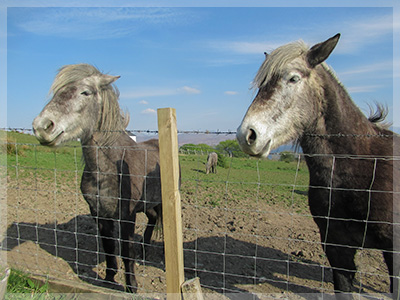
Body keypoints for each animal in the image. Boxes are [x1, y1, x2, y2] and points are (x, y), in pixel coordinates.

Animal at [32, 63, 162, 292]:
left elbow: (126, 251)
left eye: (85, 92)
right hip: (148, 205)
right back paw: (144, 252)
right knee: (152, 220)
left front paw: (132, 286)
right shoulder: (100, 215)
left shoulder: (127, 216)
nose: (43, 126)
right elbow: (109, 248)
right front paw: (109, 279)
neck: (109, 168)